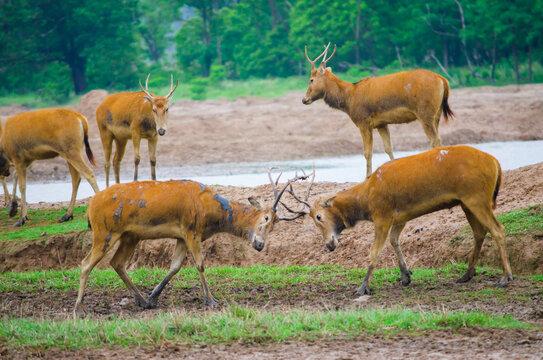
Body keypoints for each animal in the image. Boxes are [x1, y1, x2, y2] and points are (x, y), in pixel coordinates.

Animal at [74, 169, 308, 318]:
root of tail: (90, 206)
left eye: (275, 224)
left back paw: (141, 300)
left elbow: (175, 266)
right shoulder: (191, 229)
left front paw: (153, 297)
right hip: (105, 231)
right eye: (266, 218)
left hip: (130, 235)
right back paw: (80, 308)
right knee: (86, 263)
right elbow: (200, 264)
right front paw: (211, 300)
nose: (259, 245)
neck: (211, 214)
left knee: (117, 263)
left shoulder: (181, 236)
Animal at [288, 146, 516, 296]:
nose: (329, 245)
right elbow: (394, 240)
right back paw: (467, 275)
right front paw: (406, 275)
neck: (366, 201)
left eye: (318, 216)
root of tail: (496, 163)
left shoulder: (382, 215)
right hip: (466, 202)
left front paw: (363, 287)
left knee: (498, 229)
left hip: (476, 197)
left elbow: (374, 251)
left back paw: (505, 277)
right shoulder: (400, 217)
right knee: (479, 232)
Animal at [302, 43, 454, 179]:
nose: (304, 99)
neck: (349, 99)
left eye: (311, 79)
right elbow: (388, 148)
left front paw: (367, 176)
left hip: (425, 112)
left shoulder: (363, 121)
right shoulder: (381, 123)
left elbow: (367, 152)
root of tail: (443, 80)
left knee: (435, 139)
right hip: (437, 113)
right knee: (437, 139)